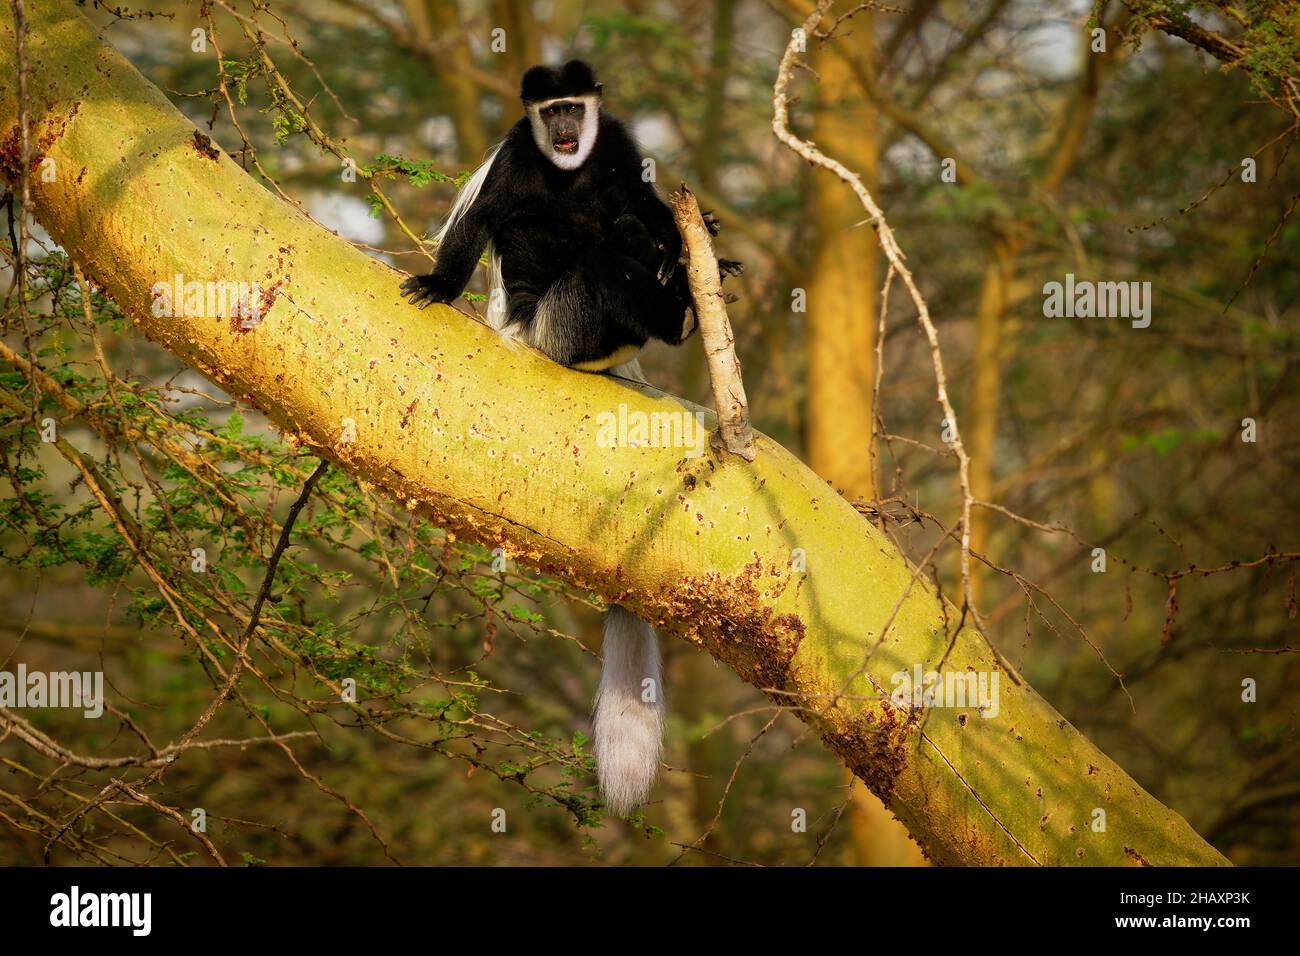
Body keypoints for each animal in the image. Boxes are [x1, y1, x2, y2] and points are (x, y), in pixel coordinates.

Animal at [395, 57, 743, 816]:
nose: (561, 126)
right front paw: (438, 282)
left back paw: (683, 288)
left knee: (632, 225)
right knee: (601, 259)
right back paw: (674, 311)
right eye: (548, 109)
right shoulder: (516, 158)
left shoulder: (615, 140)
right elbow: (485, 218)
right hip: (560, 324)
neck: (570, 166)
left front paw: (700, 236)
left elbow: (644, 202)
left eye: (573, 109)